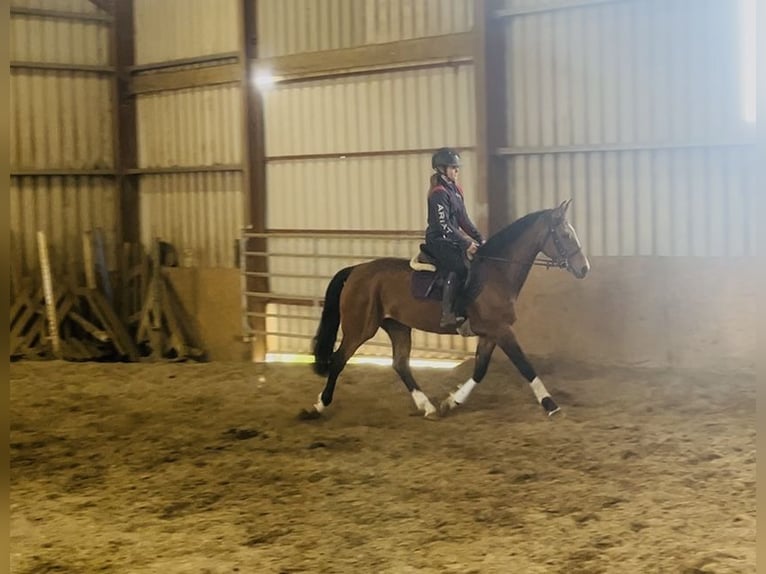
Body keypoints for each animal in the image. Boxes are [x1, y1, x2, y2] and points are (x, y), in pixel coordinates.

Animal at [301, 199, 590, 420]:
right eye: (565, 235)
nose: (584, 268)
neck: (496, 271)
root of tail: (356, 270)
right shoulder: (501, 330)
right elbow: (525, 366)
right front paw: (551, 404)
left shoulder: (490, 333)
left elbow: (480, 370)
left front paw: (452, 402)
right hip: (360, 328)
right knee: (339, 360)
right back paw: (317, 407)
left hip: (397, 326)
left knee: (400, 364)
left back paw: (427, 407)